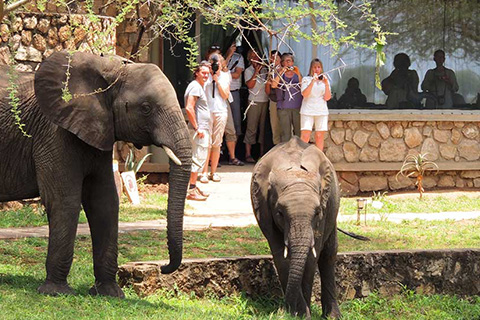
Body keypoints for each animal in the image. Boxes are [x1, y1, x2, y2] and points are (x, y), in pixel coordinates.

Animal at [0, 52, 191, 298]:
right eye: (146, 108)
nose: (163, 267)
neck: (110, 69)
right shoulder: (54, 133)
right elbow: (65, 201)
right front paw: (56, 292)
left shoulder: (99, 130)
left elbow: (105, 201)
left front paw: (110, 293)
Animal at [251, 136, 342, 318]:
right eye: (279, 213)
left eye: (317, 212)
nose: (283, 309)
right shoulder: (263, 206)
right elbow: (281, 256)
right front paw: (298, 314)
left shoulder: (325, 207)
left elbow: (312, 257)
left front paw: (302, 314)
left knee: (329, 254)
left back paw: (332, 316)